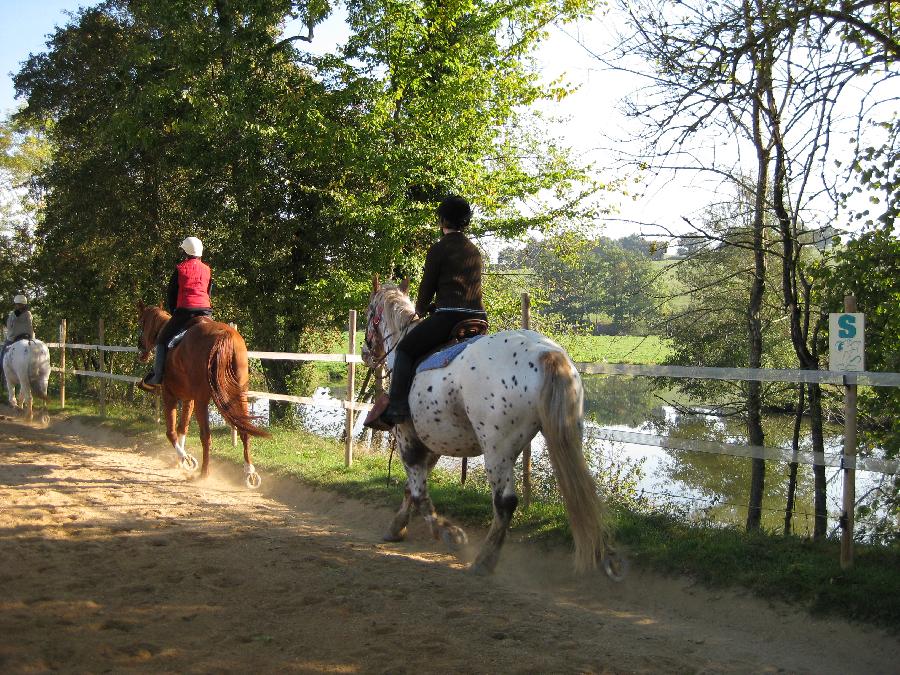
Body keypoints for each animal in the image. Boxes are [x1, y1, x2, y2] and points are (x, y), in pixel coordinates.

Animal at [134, 304, 268, 488]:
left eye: (141, 321)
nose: (140, 347)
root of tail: (225, 334)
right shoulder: (188, 399)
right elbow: (182, 428)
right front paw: (179, 461)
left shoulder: (170, 396)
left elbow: (171, 432)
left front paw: (185, 459)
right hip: (238, 396)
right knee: (244, 431)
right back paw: (250, 473)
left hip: (202, 401)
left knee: (206, 436)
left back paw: (204, 473)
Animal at [362, 278, 624, 580]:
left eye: (369, 313)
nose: (365, 352)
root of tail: (545, 353)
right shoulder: (432, 444)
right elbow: (412, 488)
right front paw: (397, 526)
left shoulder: (408, 437)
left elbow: (418, 491)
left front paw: (450, 533)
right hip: (563, 436)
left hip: (497, 449)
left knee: (505, 502)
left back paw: (484, 560)